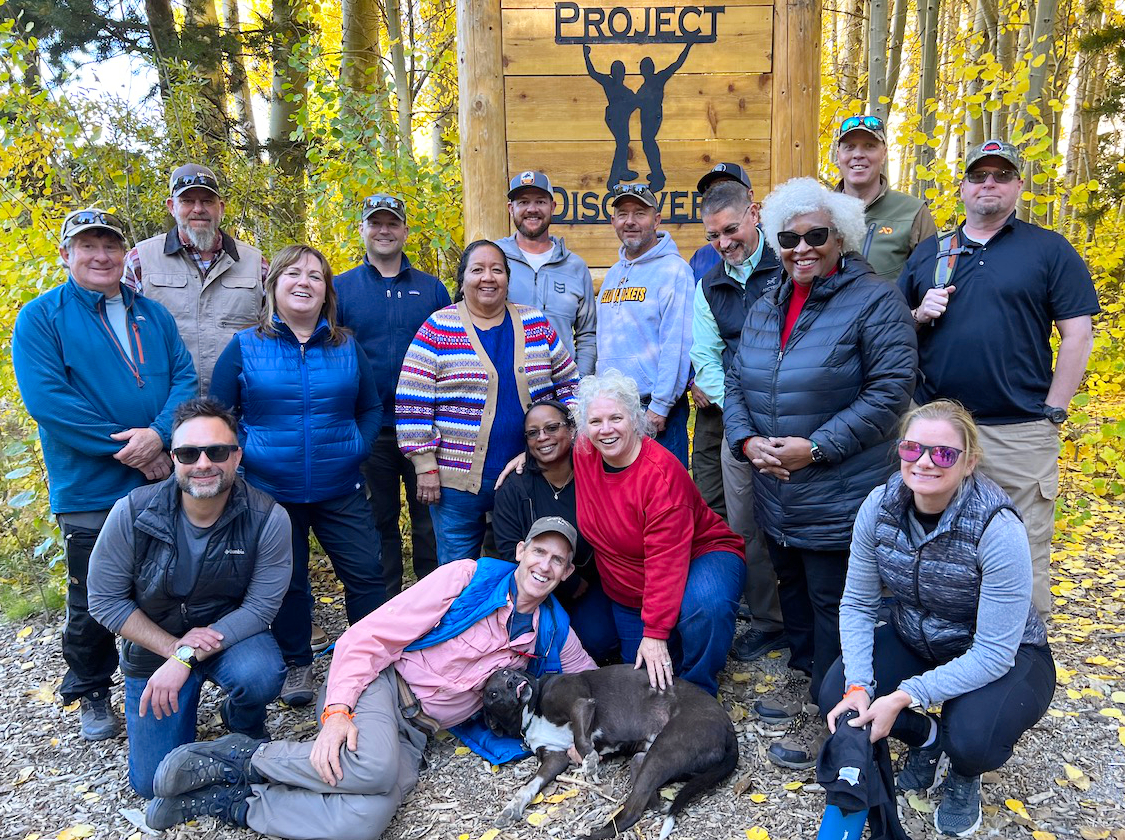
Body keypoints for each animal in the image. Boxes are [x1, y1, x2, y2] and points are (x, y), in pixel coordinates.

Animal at [481, 665, 738, 836]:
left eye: (506, 672)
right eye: (492, 694)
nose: (513, 680)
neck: (530, 713)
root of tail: (729, 728)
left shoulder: (581, 702)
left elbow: (580, 738)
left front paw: (591, 761)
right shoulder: (554, 758)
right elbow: (529, 785)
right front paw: (512, 808)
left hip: (665, 750)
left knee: (632, 811)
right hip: (653, 757)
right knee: (648, 796)